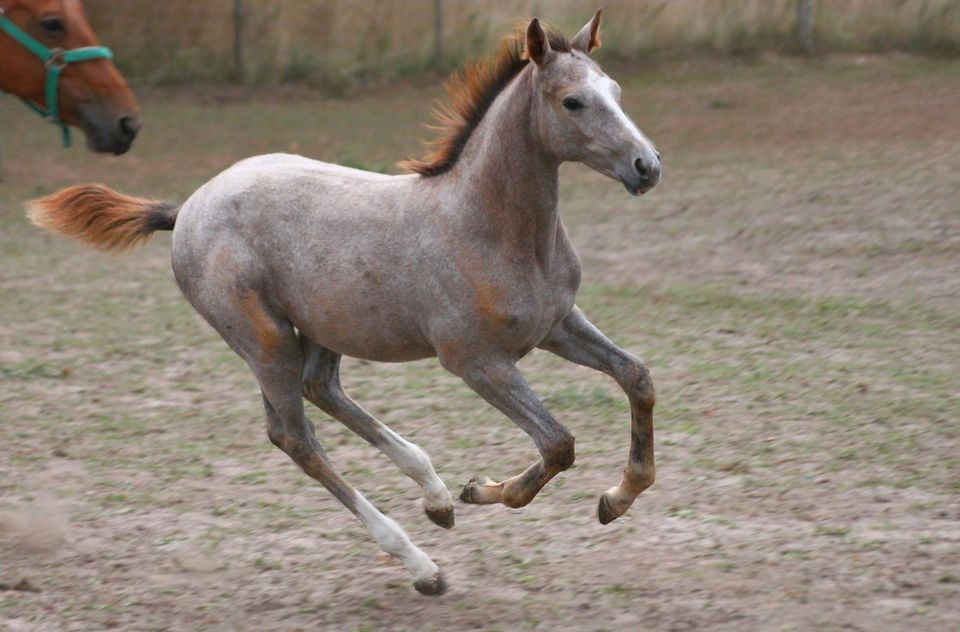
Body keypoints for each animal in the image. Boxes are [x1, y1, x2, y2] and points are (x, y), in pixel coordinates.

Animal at [28, 12, 660, 596]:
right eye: (573, 101)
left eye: (616, 91)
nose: (647, 166)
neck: (489, 225)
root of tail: (186, 208)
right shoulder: (476, 362)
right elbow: (557, 442)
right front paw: (488, 491)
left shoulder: (557, 324)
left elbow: (637, 377)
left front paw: (616, 499)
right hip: (264, 340)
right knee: (294, 436)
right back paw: (421, 564)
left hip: (323, 328)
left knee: (321, 388)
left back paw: (434, 498)